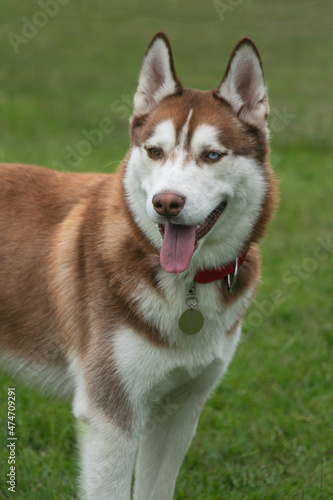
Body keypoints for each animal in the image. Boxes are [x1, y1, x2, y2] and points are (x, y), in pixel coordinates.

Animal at [0, 33, 274, 498]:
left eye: (212, 155)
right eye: (155, 151)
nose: (166, 203)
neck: (187, 285)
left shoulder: (180, 410)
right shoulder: (110, 416)